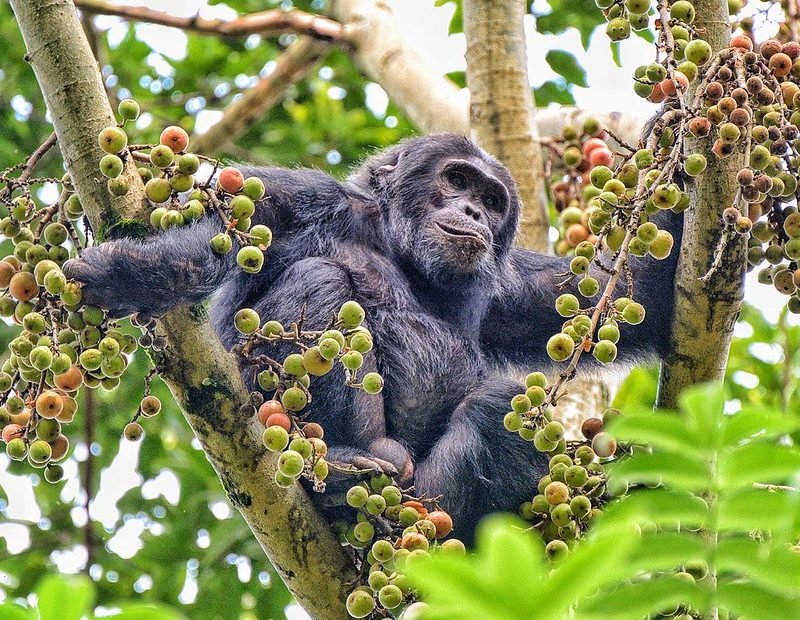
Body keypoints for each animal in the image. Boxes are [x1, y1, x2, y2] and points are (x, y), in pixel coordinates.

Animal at [64, 134, 683, 538]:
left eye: (491, 201)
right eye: (456, 180)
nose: (472, 211)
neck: (398, 246)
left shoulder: (511, 288)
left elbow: (621, 298)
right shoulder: (302, 199)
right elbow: (216, 242)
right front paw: (120, 274)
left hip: (422, 497)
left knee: (501, 409)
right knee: (320, 278)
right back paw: (338, 472)